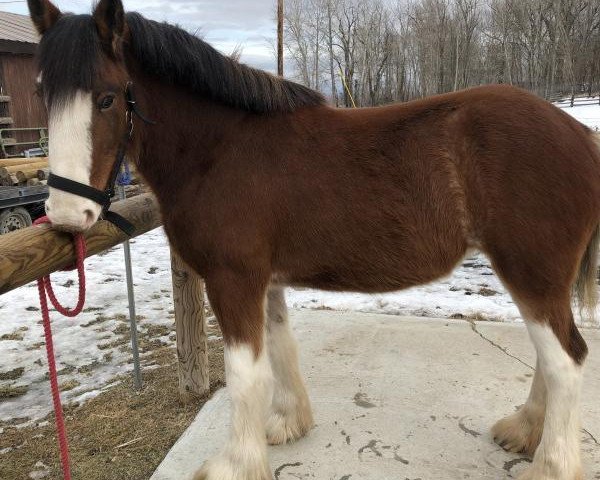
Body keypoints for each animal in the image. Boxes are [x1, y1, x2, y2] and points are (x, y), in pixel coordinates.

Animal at [28, 0, 600, 480]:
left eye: (106, 97)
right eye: (41, 94)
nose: (66, 214)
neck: (219, 150)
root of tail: (580, 134)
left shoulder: (232, 280)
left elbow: (245, 375)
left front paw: (236, 464)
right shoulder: (264, 281)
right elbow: (280, 349)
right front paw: (288, 424)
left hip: (530, 272)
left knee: (566, 360)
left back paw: (548, 466)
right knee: (552, 357)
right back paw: (523, 431)